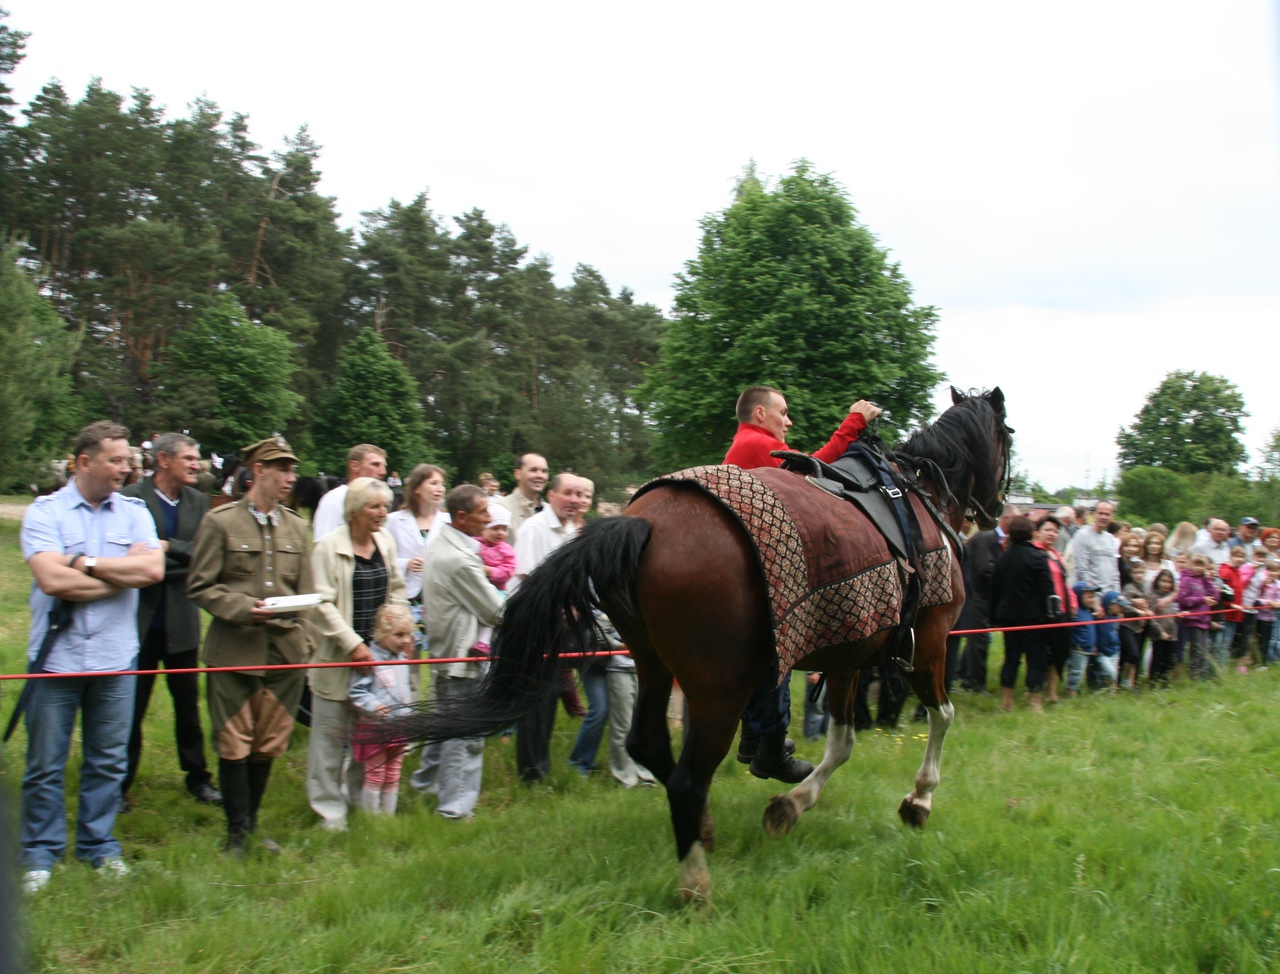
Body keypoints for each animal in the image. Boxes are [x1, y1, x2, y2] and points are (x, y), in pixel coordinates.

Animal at [373, 383, 1013, 901]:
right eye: (1008, 439)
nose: (997, 511)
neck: (917, 495)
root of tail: (641, 523)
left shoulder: (852, 653)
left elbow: (842, 741)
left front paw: (791, 804)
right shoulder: (929, 638)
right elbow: (940, 717)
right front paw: (918, 801)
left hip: (655, 662)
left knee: (649, 743)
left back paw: (704, 827)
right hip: (718, 687)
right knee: (684, 775)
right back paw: (695, 882)